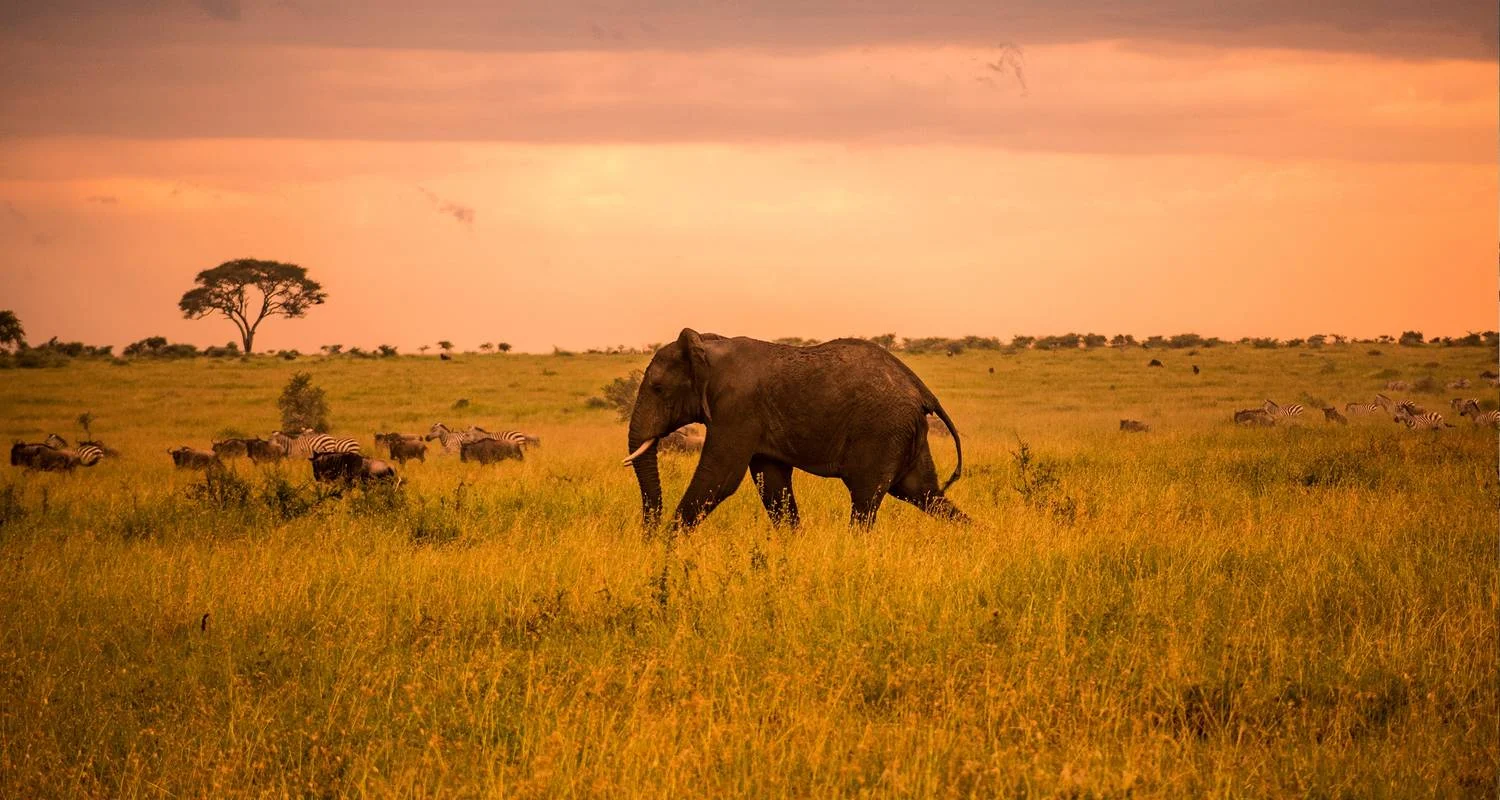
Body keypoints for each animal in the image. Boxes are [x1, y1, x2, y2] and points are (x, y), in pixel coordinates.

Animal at [622, 328, 967, 530]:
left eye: (657, 388)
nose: (648, 535)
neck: (707, 347)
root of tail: (922, 390)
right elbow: (772, 484)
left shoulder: (737, 408)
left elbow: (719, 478)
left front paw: (666, 548)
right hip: (904, 433)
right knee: (924, 493)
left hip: (882, 431)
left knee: (866, 500)